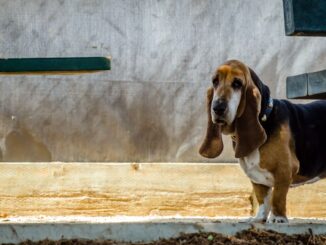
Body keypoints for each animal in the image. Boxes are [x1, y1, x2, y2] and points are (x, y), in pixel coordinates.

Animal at [199, 59, 326, 222]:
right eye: (215, 82)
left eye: (237, 83)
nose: (217, 108)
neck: (265, 117)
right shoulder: (257, 179)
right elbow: (263, 199)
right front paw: (259, 218)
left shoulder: (284, 170)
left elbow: (278, 197)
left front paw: (278, 219)